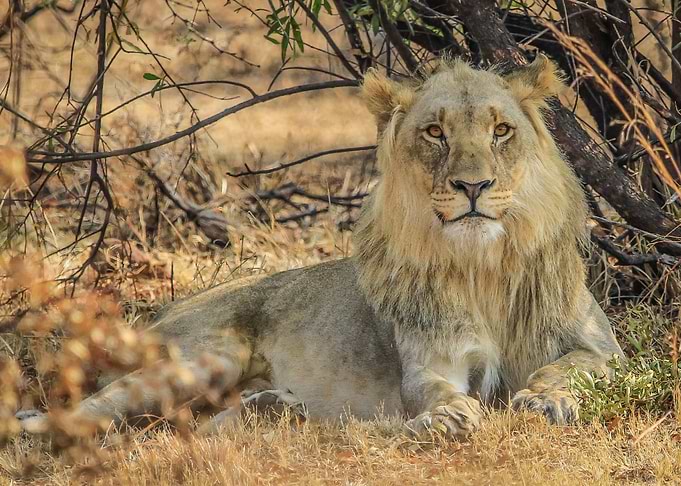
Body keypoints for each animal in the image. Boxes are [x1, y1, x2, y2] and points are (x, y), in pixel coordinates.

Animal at [17, 55, 623, 438]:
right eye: (435, 133)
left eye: (501, 130)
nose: (472, 186)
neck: (482, 268)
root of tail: (161, 310)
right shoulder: (431, 364)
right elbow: (437, 393)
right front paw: (450, 418)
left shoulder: (603, 348)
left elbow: (570, 366)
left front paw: (544, 400)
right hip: (203, 358)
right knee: (92, 415)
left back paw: (274, 408)